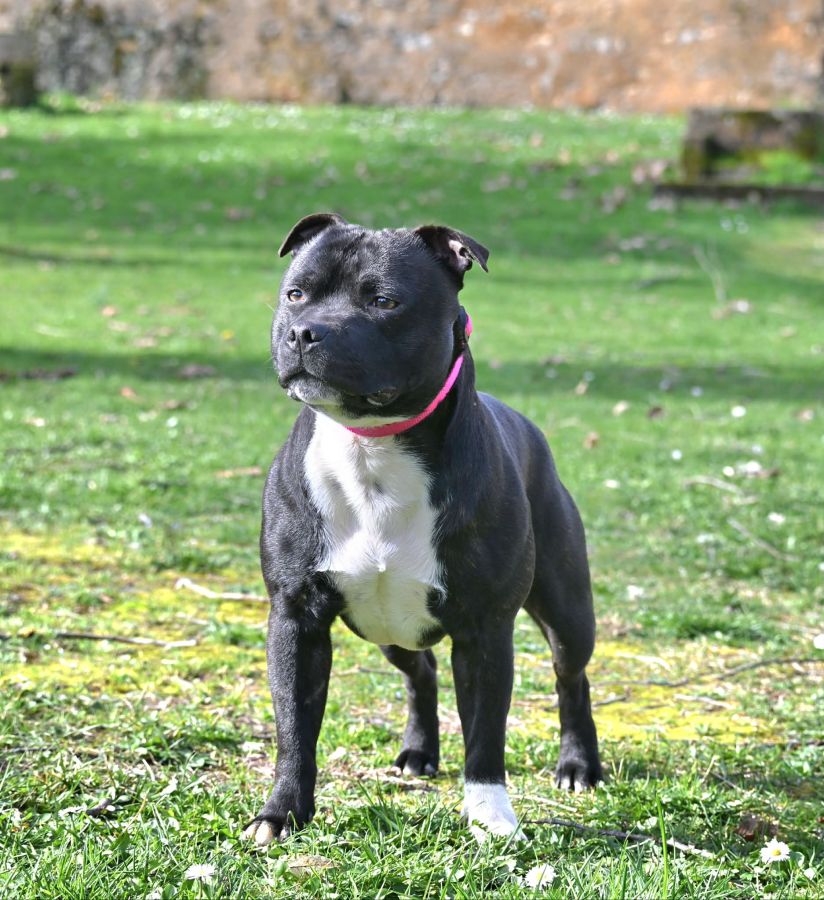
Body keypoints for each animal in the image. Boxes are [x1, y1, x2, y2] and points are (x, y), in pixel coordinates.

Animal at [243, 213, 602, 846]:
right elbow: (295, 728)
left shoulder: (486, 631)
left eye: (384, 301)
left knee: (571, 677)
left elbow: (485, 736)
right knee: (421, 672)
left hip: (566, 609)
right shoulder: (296, 618)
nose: (306, 332)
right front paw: (282, 813)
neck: (373, 446)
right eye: (296, 294)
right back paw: (419, 751)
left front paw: (490, 817)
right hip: (386, 624)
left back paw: (579, 765)